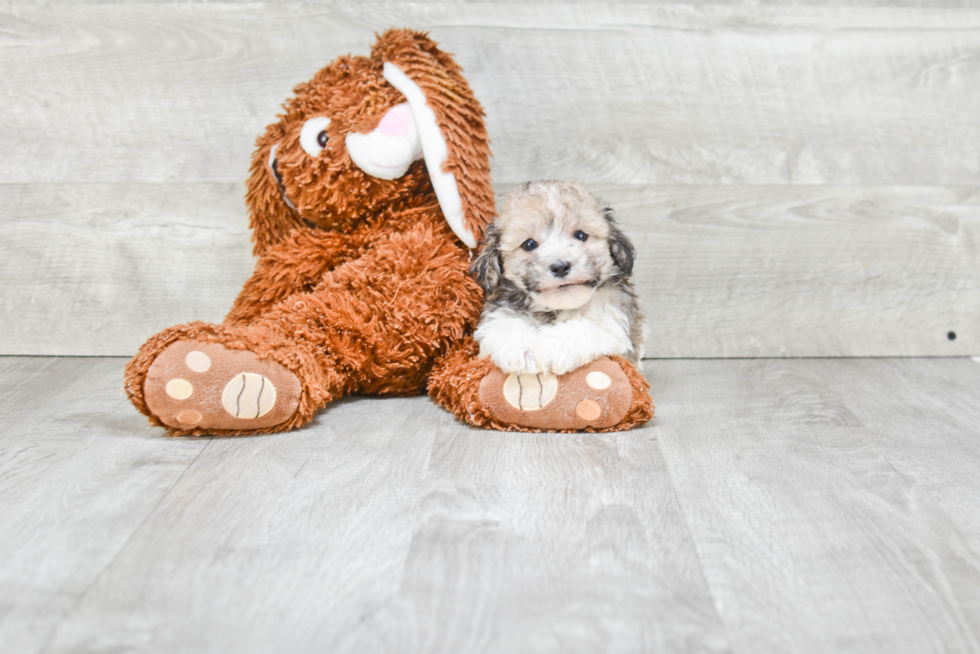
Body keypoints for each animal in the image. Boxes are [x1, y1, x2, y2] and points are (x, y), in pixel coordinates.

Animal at [472, 179, 644, 376]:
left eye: (580, 235)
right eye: (529, 244)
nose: (560, 266)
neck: (557, 308)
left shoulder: (613, 316)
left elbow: (589, 325)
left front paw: (553, 346)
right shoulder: (501, 307)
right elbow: (504, 324)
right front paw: (522, 349)